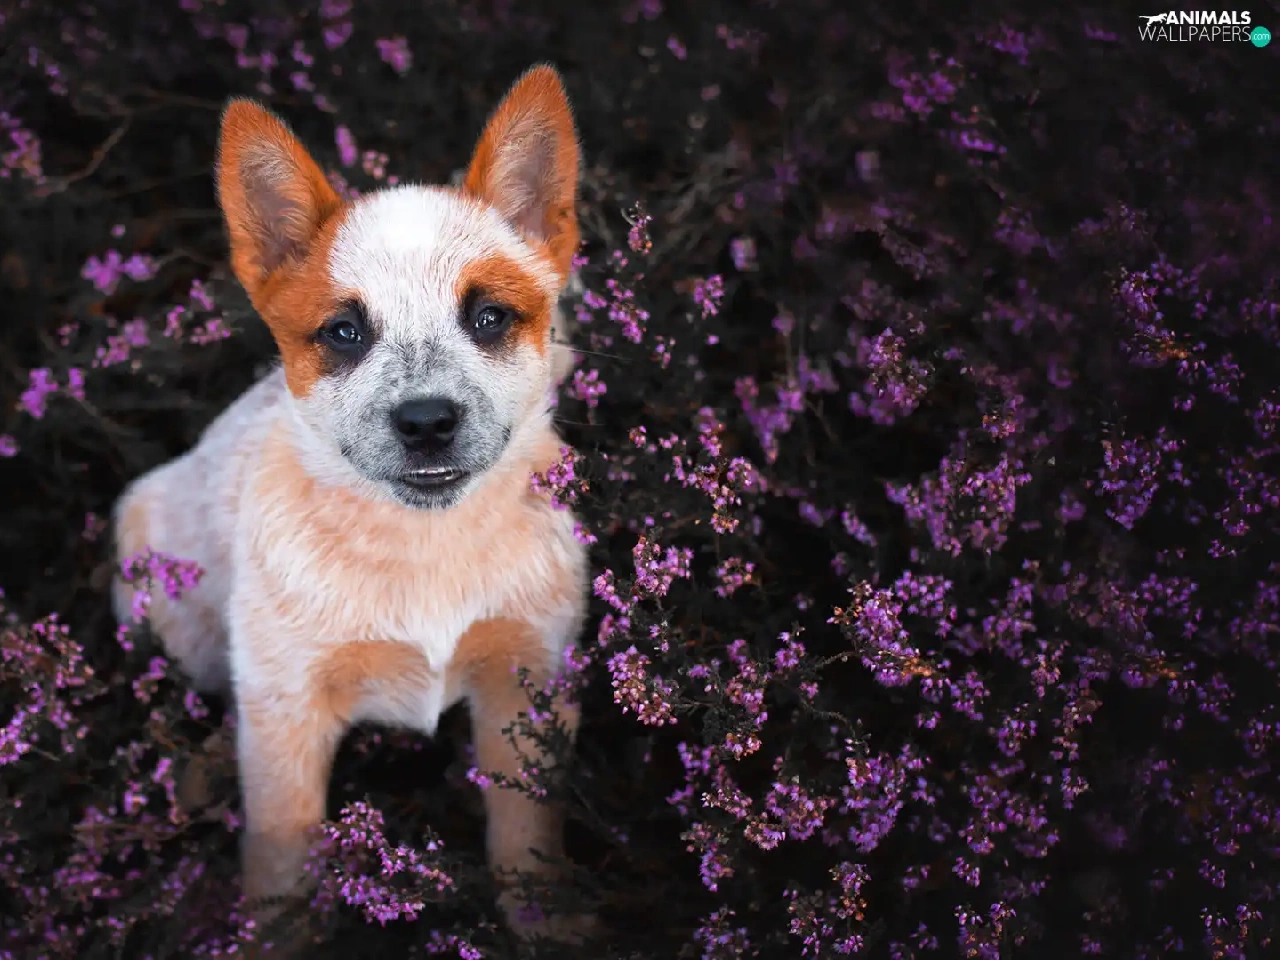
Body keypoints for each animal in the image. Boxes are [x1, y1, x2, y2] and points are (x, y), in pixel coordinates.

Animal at [111, 64, 593, 943]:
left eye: (490, 317)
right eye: (343, 332)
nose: (427, 422)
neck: (424, 546)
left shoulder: (528, 678)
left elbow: (525, 837)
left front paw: (550, 921)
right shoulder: (289, 704)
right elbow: (279, 860)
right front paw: (268, 936)